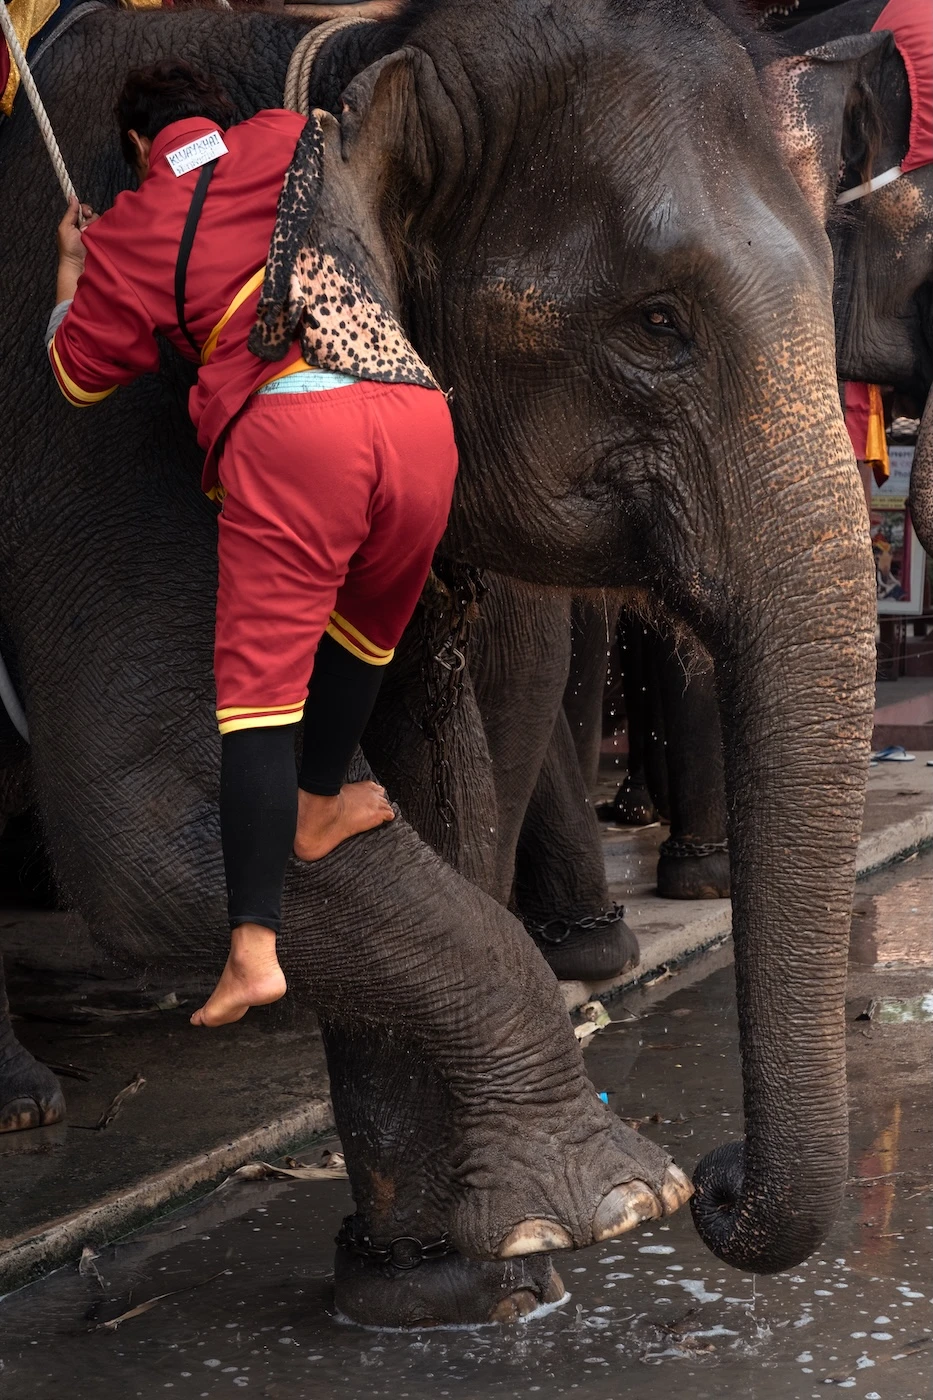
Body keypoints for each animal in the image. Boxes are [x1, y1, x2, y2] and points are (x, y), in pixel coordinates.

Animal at [0, 0, 874, 1326]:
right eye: (658, 324)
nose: (724, 1181)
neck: (344, 61)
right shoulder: (104, 433)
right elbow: (150, 801)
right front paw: (613, 1200)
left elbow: (415, 765)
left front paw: (445, 1279)